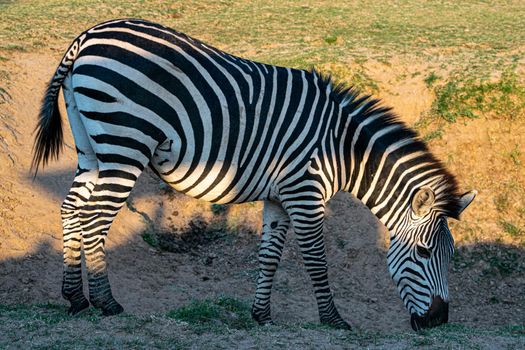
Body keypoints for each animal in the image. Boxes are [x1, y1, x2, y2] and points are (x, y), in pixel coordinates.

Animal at [31, 19, 474, 330]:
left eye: (451, 254)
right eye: (424, 253)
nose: (439, 321)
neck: (342, 148)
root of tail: (87, 36)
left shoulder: (279, 196)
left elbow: (269, 255)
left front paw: (261, 315)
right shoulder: (304, 191)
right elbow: (316, 258)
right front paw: (333, 320)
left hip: (92, 147)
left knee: (72, 209)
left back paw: (75, 299)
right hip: (125, 143)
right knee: (95, 218)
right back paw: (106, 303)